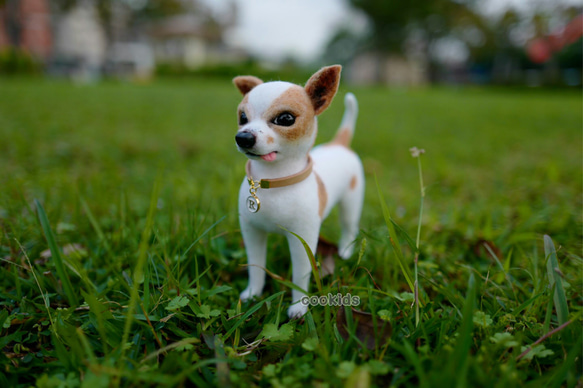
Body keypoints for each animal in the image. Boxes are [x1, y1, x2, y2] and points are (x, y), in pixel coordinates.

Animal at [234, 64, 364, 318]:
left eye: (286, 119)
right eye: (242, 117)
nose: (243, 136)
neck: (274, 180)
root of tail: (340, 143)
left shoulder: (302, 238)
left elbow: (300, 275)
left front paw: (298, 307)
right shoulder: (252, 231)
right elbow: (256, 265)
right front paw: (253, 293)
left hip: (351, 201)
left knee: (348, 226)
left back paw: (345, 250)